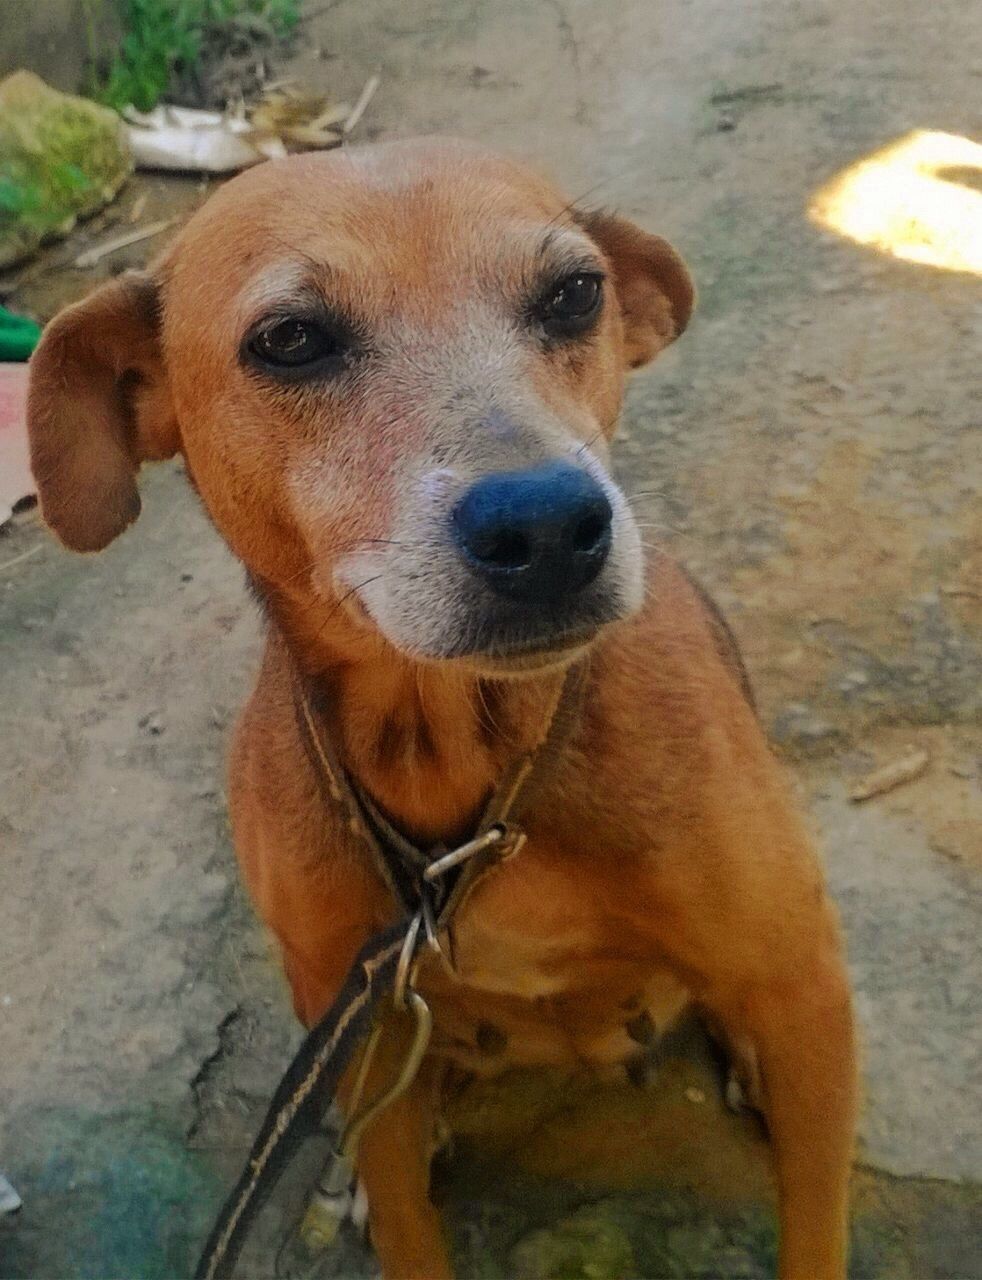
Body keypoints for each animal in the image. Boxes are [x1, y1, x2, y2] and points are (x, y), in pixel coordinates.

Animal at [28, 140, 860, 1280]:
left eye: (575, 293)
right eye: (290, 339)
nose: (548, 527)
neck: (470, 770)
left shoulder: (797, 981)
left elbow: (814, 1224)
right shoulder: (363, 1027)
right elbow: (407, 1220)